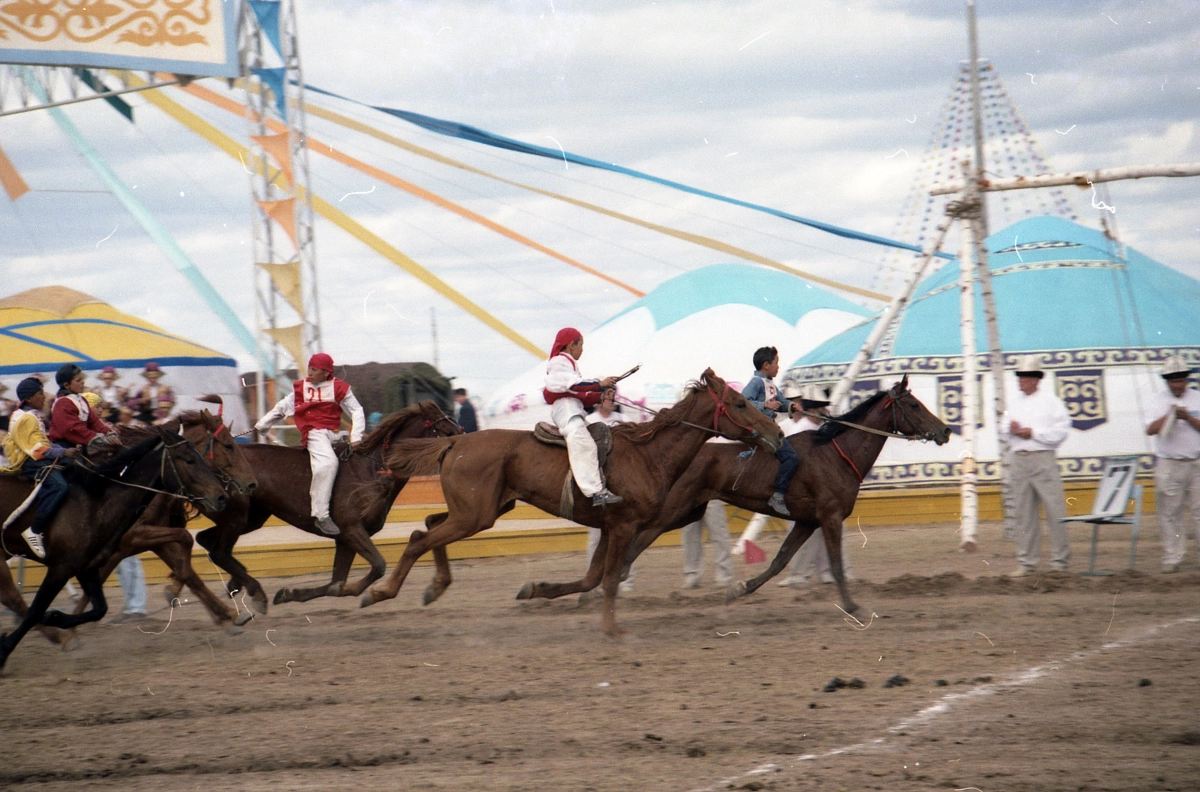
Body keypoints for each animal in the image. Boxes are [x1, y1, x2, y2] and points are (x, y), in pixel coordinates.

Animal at [0, 424, 228, 672]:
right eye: (189, 460)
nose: (222, 496)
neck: (94, 503)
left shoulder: (87, 566)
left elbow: (99, 609)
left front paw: (57, 618)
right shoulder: (62, 567)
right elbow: (35, 610)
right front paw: (7, 649)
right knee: (13, 597)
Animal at [194, 403, 460, 612]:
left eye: (457, 429)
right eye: (447, 431)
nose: (461, 452)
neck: (372, 469)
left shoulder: (346, 539)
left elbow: (336, 584)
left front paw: (290, 593)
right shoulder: (351, 530)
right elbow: (377, 567)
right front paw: (370, 594)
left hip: (252, 517)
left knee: (207, 540)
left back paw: (236, 582)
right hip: (236, 516)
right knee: (218, 551)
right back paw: (250, 589)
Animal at [360, 369, 782, 638]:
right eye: (740, 402)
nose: (776, 432)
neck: (647, 453)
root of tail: (455, 440)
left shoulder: (610, 527)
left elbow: (593, 578)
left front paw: (535, 589)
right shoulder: (625, 526)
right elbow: (608, 580)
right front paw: (612, 629)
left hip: (482, 510)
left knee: (430, 525)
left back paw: (435, 587)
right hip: (475, 516)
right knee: (419, 538)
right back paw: (379, 592)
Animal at [520, 376, 950, 612]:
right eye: (914, 404)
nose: (945, 430)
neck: (837, 453)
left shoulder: (807, 520)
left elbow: (779, 561)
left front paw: (738, 589)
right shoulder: (829, 517)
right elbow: (836, 565)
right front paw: (852, 605)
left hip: (687, 512)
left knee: (625, 552)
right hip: (668, 512)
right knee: (628, 550)